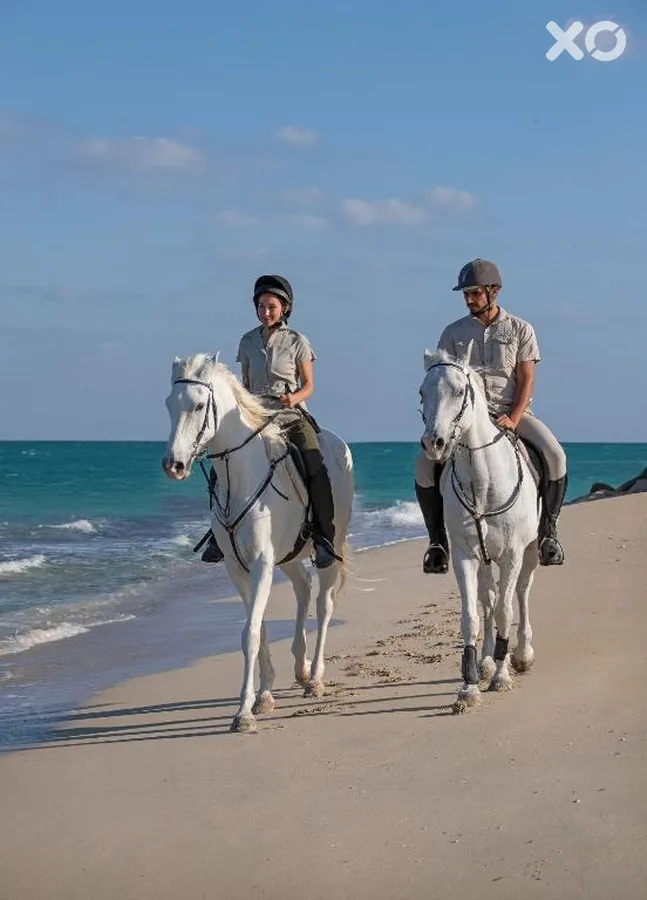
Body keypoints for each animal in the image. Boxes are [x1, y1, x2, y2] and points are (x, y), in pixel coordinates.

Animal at [162, 352, 354, 732]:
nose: (173, 465)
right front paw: (263, 696)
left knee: (324, 604)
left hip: (331, 546)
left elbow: (250, 632)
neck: (240, 476)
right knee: (302, 587)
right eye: (168, 405)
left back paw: (314, 678)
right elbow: (258, 629)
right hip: (289, 556)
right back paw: (300, 667)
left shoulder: (262, 563)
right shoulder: (238, 569)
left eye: (198, 405)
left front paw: (243, 714)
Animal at [420, 344, 540, 712]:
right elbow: (473, 615)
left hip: (530, 553)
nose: (434, 443)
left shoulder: (513, 554)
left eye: (460, 391)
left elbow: (505, 609)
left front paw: (502, 676)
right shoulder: (465, 555)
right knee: (487, 598)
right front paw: (470, 685)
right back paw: (487, 660)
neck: (483, 483)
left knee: (521, 594)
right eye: (422, 393)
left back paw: (521, 655)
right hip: (486, 559)